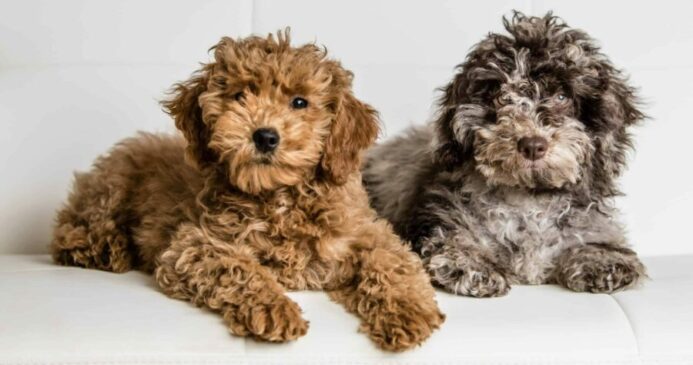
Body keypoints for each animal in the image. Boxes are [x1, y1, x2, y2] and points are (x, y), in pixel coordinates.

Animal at [52, 31, 444, 350]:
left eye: (299, 102)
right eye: (239, 95)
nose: (265, 136)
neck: (279, 198)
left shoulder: (367, 232)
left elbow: (392, 262)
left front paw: (409, 311)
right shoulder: (193, 245)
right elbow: (240, 267)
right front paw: (276, 309)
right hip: (112, 187)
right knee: (71, 229)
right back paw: (105, 249)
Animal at [364, 12, 648, 298]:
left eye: (561, 97)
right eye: (501, 97)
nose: (533, 144)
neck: (529, 199)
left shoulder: (589, 221)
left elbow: (595, 238)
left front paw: (602, 260)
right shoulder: (440, 215)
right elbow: (453, 238)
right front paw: (470, 262)